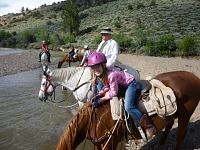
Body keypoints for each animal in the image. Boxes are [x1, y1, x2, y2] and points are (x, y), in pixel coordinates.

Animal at [54, 71, 200, 149]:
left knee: (181, 136)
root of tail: (194, 77)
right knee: (169, 125)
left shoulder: (109, 143)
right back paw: (159, 144)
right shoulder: (99, 143)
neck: (95, 119)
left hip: (185, 116)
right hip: (173, 114)